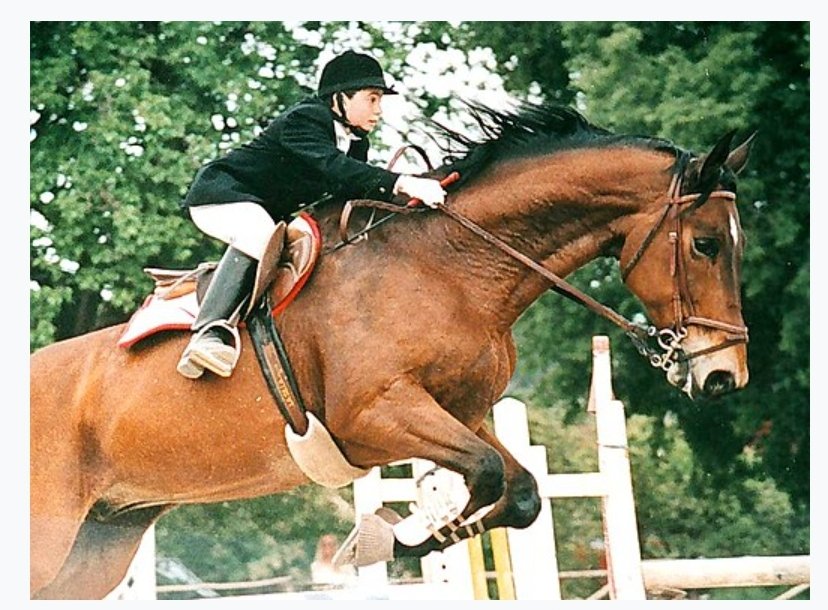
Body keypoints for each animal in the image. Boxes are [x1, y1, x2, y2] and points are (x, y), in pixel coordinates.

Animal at [30, 102, 756, 596]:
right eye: (704, 245)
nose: (724, 376)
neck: (451, 267)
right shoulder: (375, 416)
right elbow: (486, 477)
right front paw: (387, 537)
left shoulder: (459, 416)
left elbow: (518, 491)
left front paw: (401, 538)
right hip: (49, 536)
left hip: (99, 542)